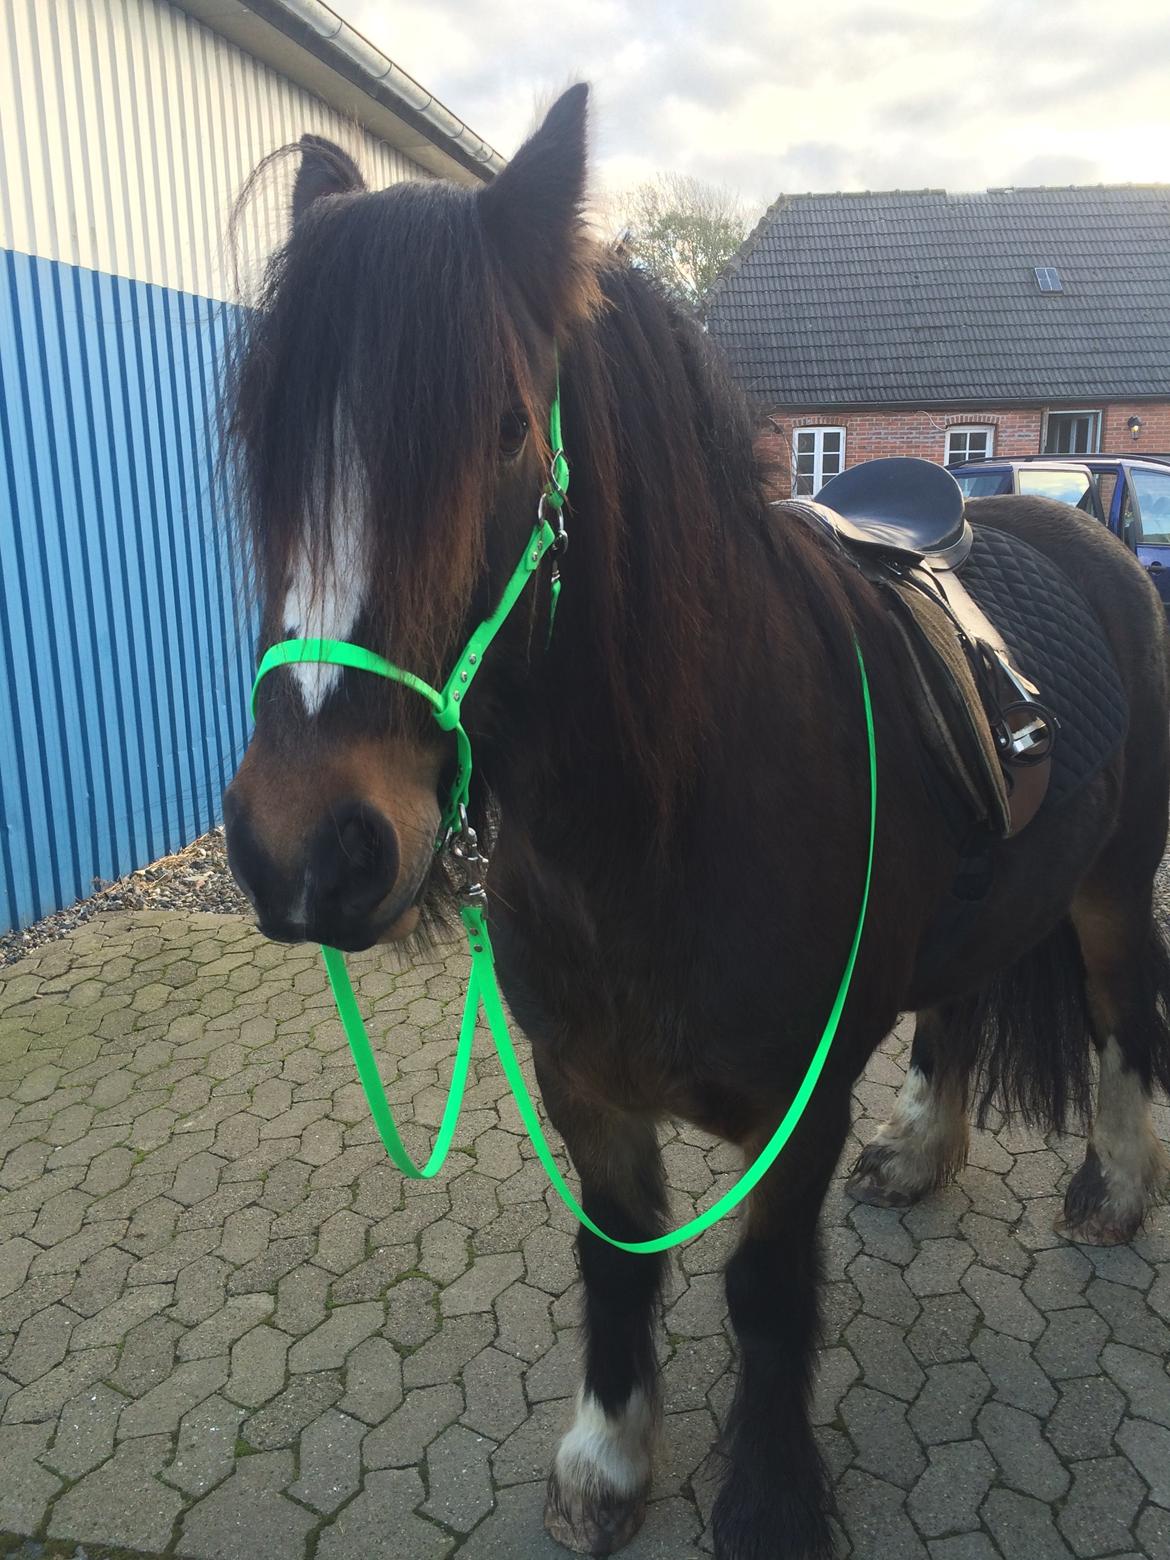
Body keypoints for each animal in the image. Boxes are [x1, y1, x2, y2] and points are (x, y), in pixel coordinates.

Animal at [221, 85, 1170, 1560]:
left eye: (506, 427)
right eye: (264, 437)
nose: (304, 851)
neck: (654, 830)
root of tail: (1087, 535)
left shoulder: (795, 1107)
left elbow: (764, 1292)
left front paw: (768, 1502)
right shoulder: (581, 1082)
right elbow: (615, 1264)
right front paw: (610, 1460)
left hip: (1114, 885)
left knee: (1127, 1015)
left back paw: (1114, 1193)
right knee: (955, 1004)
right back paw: (921, 1154)